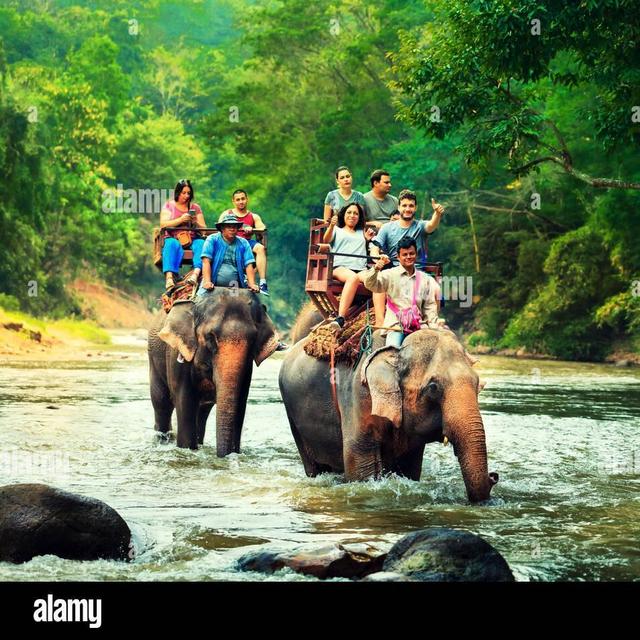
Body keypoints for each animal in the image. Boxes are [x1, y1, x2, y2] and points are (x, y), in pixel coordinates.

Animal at [148, 288, 279, 455]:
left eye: (253, 339)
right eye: (210, 337)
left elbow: (241, 400)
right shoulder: (177, 353)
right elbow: (184, 399)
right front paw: (187, 450)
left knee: (202, 412)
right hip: (153, 357)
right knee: (161, 403)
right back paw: (163, 442)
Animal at [279, 324, 498, 503]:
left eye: (478, 384)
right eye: (433, 387)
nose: (494, 476)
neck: (397, 350)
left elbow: (409, 467)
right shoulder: (359, 393)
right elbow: (360, 464)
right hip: (293, 417)